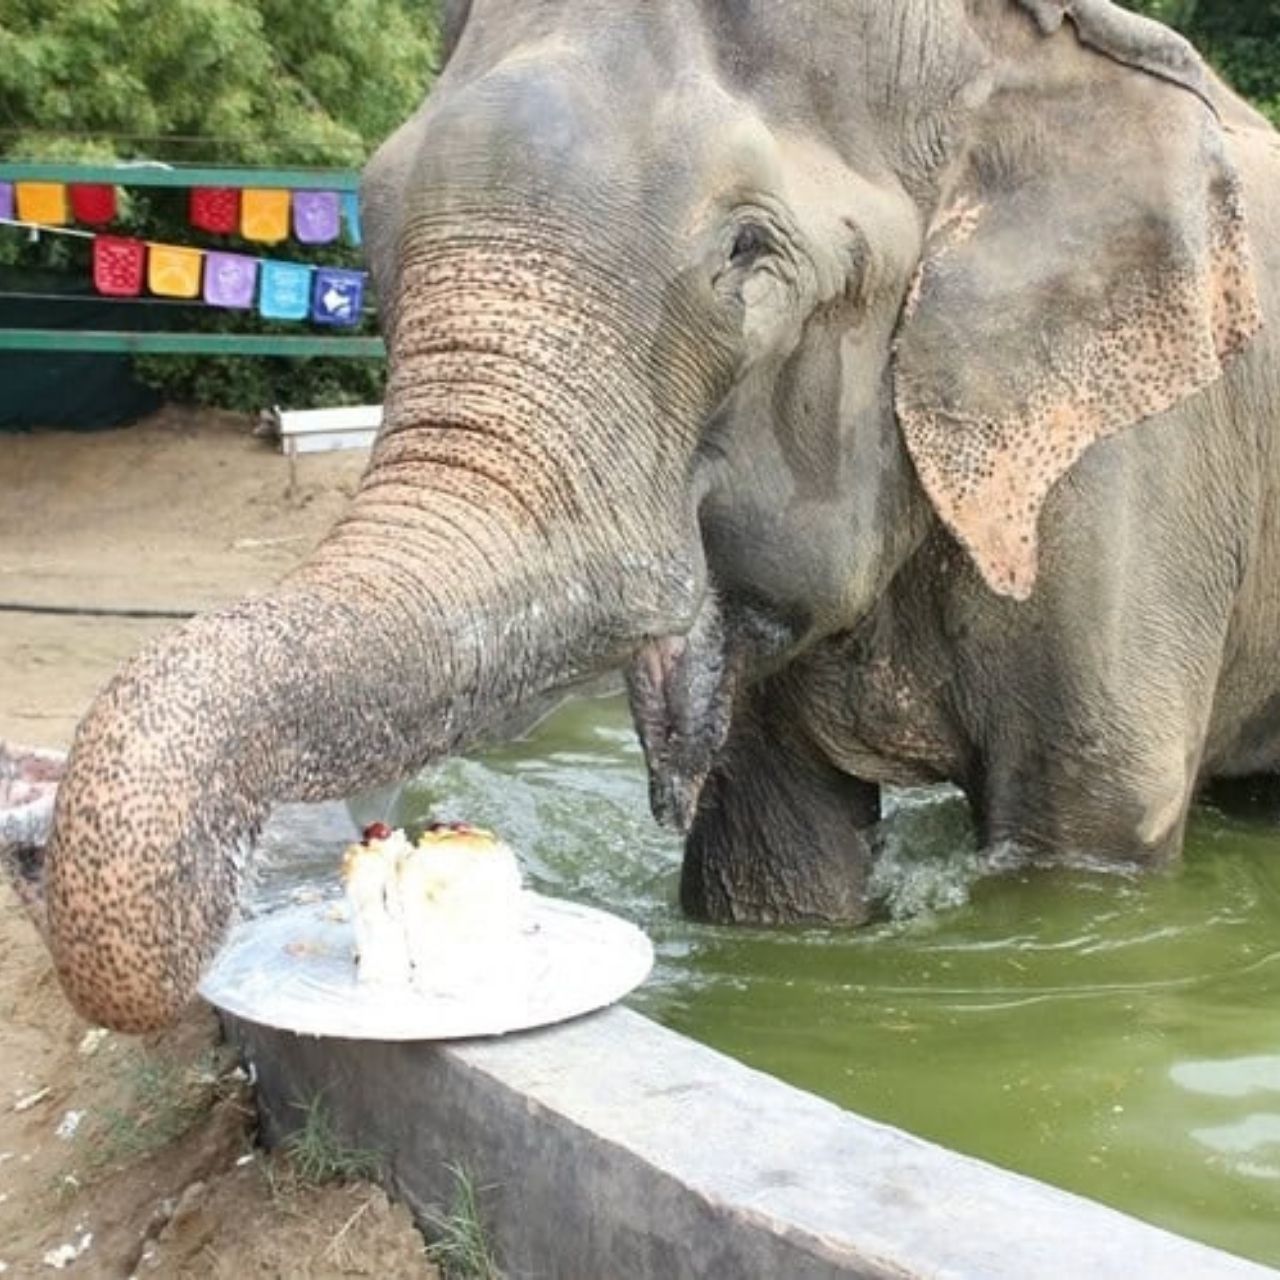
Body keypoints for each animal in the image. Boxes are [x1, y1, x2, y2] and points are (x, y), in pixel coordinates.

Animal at [30, 0, 1280, 1033]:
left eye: (747, 252)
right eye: (372, 224)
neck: (992, 52)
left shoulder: (1128, 475)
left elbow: (1079, 853)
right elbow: (772, 861)